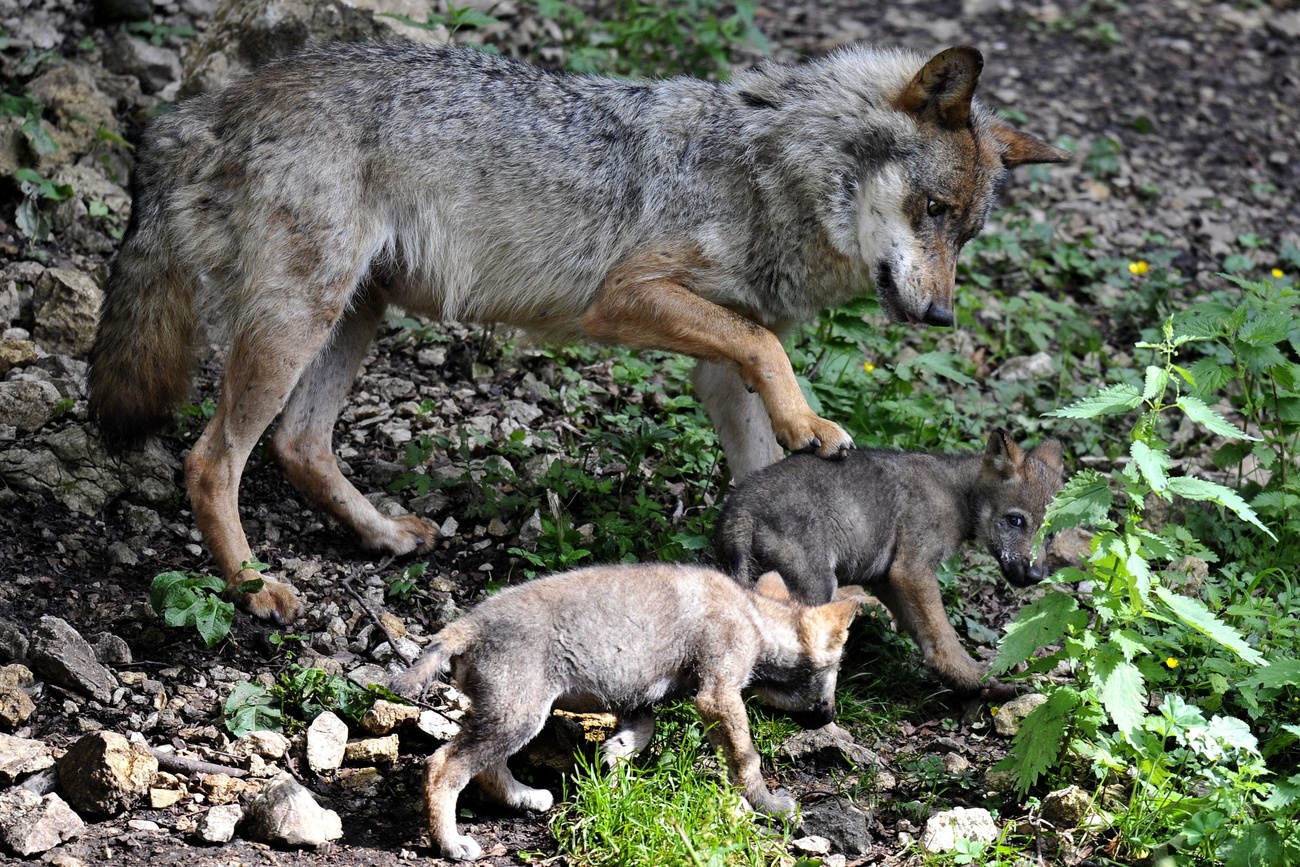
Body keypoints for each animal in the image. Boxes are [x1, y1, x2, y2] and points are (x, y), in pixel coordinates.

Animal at [91, 42, 1066, 623]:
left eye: (967, 233)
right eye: (931, 210)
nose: (940, 315)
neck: (770, 172)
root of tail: (201, 111)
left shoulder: (720, 366)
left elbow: (760, 441)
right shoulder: (629, 297)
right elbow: (773, 352)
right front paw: (811, 426)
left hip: (352, 316)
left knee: (299, 444)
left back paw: (383, 537)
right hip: (299, 322)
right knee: (211, 460)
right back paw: (255, 588)